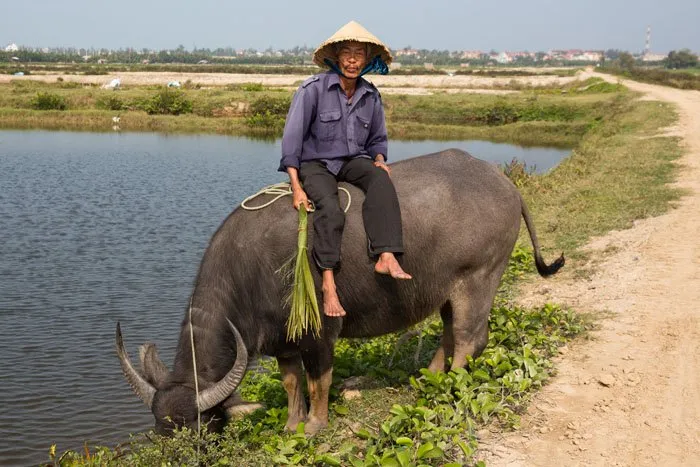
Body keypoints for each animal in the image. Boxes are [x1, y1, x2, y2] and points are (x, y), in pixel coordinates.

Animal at [115, 149, 564, 436]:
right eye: (160, 434)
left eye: (196, 431)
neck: (250, 268)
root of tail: (507, 184)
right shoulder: (282, 341)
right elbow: (292, 383)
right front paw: (292, 425)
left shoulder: (320, 334)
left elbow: (319, 381)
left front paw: (315, 425)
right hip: (447, 289)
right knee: (451, 331)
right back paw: (431, 378)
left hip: (480, 277)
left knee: (471, 338)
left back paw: (450, 388)